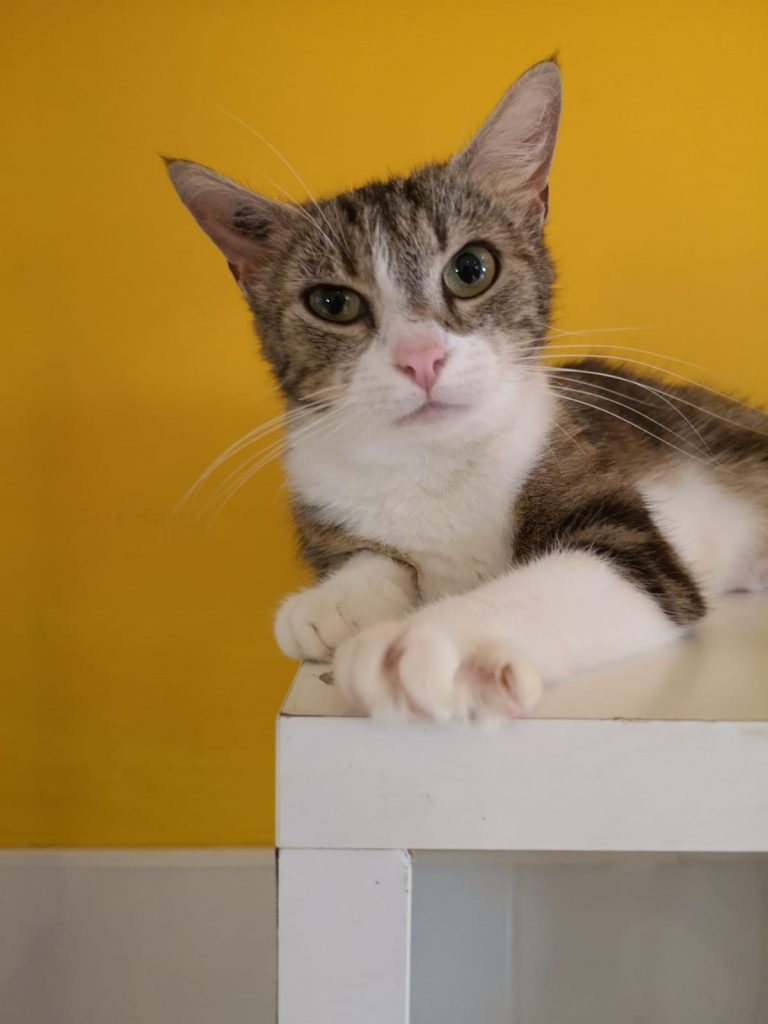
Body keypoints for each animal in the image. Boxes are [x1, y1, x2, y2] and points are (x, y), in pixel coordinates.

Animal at [167, 58, 768, 722]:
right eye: (331, 303)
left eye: (471, 269)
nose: (420, 358)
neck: (434, 464)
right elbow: (375, 556)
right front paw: (333, 602)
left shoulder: (626, 534)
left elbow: (583, 573)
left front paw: (416, 644)